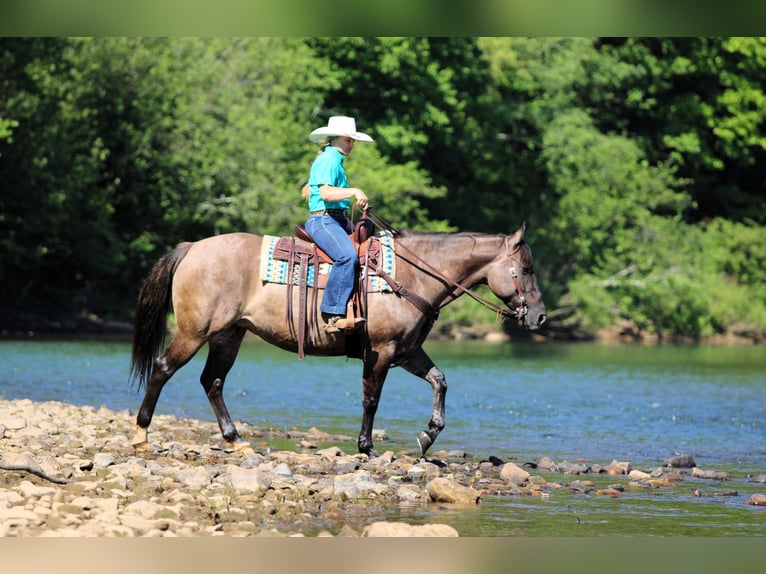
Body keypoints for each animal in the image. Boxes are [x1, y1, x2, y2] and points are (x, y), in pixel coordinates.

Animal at [129, 223, 547, 458]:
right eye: (526, 268)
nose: (541, 315)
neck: (412, 274)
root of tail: (192, 248)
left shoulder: (408, 351)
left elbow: (440, 381)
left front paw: (427, 436)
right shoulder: (381, 351)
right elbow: (371, 400)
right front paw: (368, 447)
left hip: (228, 335)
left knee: (212, 381)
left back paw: (234, 439)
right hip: (193, 332)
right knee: (163, 369)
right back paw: (141, 434)